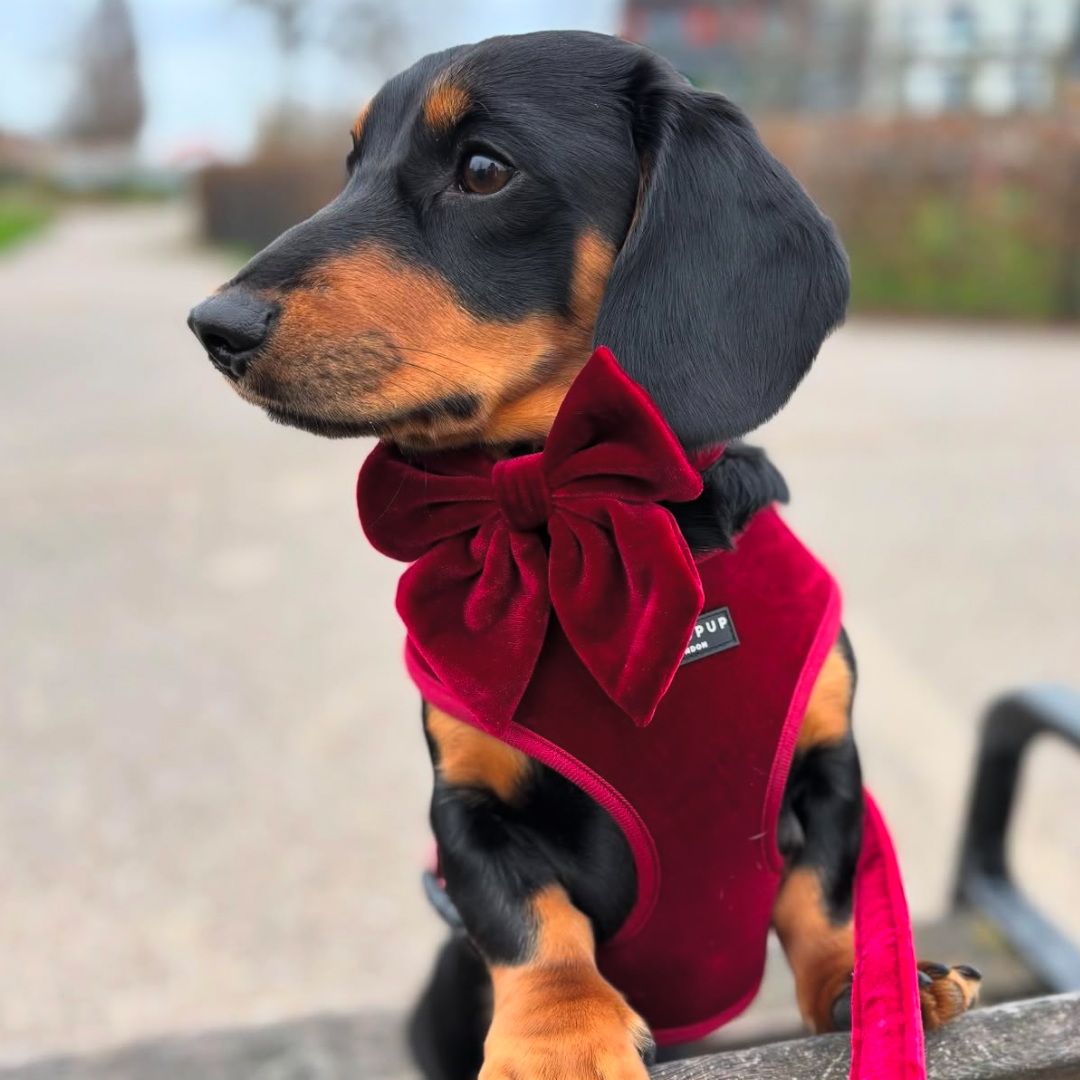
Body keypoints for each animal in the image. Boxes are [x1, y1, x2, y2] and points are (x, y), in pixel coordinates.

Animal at [190, 31, 984, 1080]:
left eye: (484, 169)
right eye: (351, 165)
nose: (214, 327)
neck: (573, 513)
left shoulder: (829, 766)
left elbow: (828, 895)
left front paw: (876, 982)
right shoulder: (466, 809)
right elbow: (530, 919)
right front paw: (562, 1035)